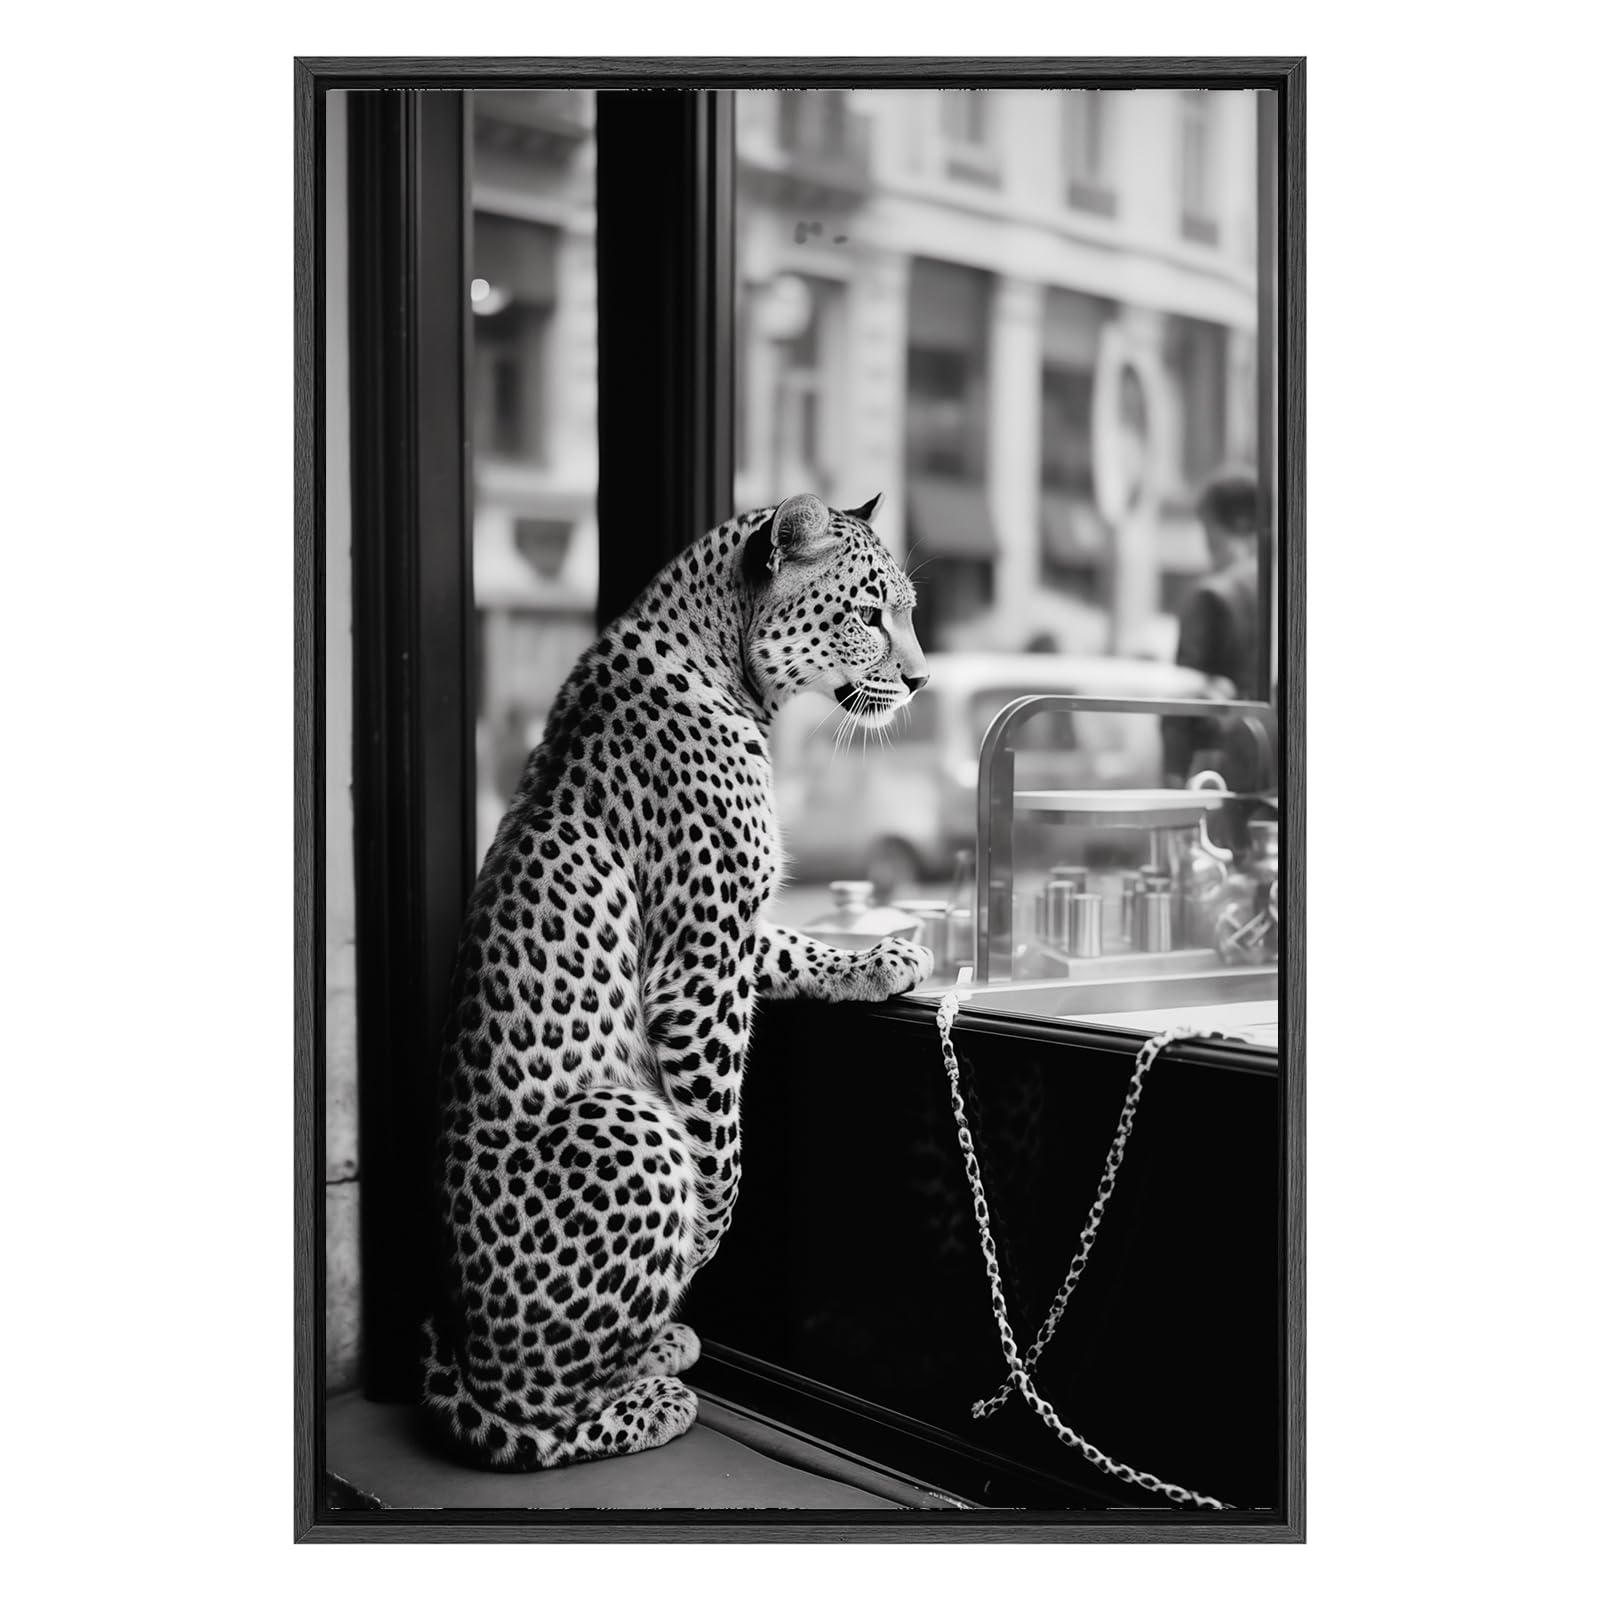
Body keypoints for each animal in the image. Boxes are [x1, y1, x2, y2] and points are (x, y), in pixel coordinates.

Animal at [420, 490, 935, 1470]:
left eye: (909, 611)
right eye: (869, 614)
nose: (924, 682)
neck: (729, 669)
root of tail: (462, 1343)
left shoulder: (735, 928)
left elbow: (796, 945)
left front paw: (880, 958)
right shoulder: (698, 965)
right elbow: (721, 1154)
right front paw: (702, 1243)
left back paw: (655, 1348)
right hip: (624, 1121)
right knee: (533, 1414)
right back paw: (650, 1396)